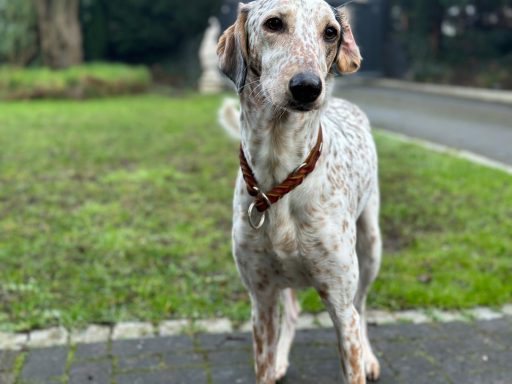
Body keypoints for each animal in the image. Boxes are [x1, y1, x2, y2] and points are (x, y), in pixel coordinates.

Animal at [216, 1, 380, 382]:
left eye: (330, 32)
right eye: (274, 23)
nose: (308, 87)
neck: (280, 180)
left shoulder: (340, 306)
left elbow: (352, 326)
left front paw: (362, 360)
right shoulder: (260, 299)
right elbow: (263, 358)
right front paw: (273, 362)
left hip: (370, 247)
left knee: (363, 305)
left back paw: (369, 356)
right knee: (290, 312)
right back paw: (280, 360)